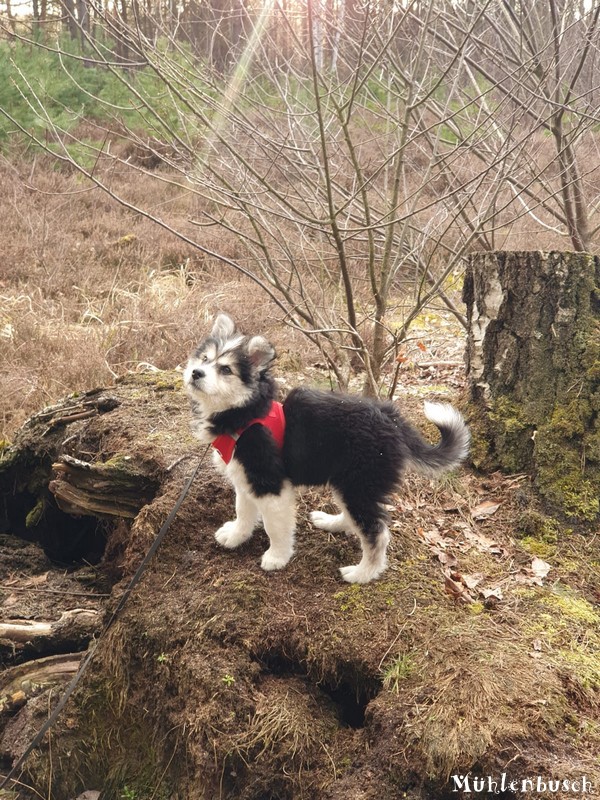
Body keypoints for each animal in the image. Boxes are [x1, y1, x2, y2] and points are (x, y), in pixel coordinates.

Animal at [183, 316, 468, 584]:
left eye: (225, 369)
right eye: (205, 358)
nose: (196, 373)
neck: (245, 413)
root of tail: (393, 420)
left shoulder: (270, 483)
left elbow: (275, 526)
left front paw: (277, 557)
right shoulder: (245, 477)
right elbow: (243, 511)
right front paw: (236, 536)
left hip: (359, 483)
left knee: (376, 532)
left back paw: (363, 573)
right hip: (348, 482)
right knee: (357, 519)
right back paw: (332, 522)